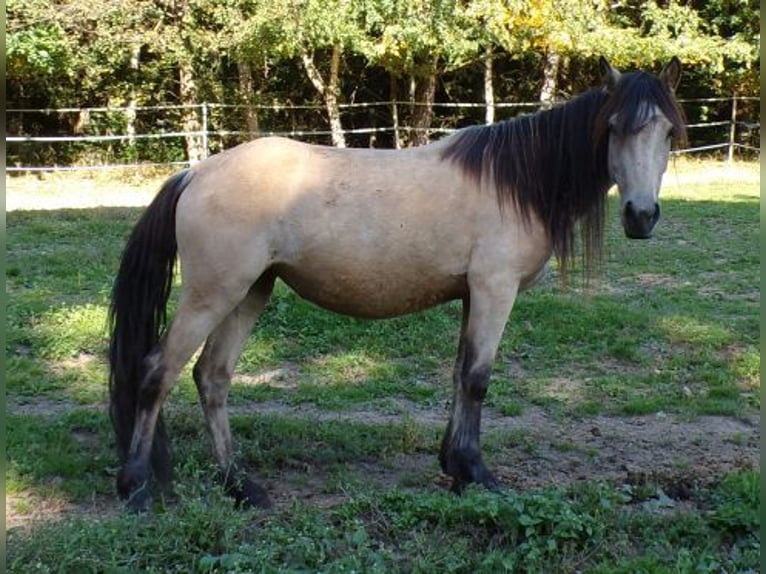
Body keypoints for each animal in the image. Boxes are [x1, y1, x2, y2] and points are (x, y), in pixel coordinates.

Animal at [109, 57, 686, 511]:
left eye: (668, 132)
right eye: (615, 126)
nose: (641, 217)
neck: (515, 181)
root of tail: (196, 173)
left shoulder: (472, 296)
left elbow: (458, 374)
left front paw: (454, 466)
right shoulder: (494, 291)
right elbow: (478, 379)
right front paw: (478, 474)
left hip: (251, 292)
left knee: (212, 377)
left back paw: (239, 485)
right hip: (213, 294)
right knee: (157, 373)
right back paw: (136, 487)